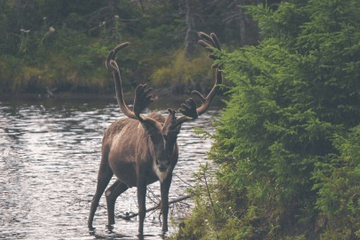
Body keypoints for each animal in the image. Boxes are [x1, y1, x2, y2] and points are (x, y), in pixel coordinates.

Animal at [88, 31, 222, 235]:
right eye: (151, 136)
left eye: (175, 136)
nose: (163, 162)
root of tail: (108, 129)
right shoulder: (140, 174)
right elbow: (142, 209)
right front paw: (140, 233)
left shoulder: (168, 174)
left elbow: (164, 206)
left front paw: (164, 231)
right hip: (106, 164)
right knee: (95, 198)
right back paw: (90, 225)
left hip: (125, 177)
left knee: (110, 193)